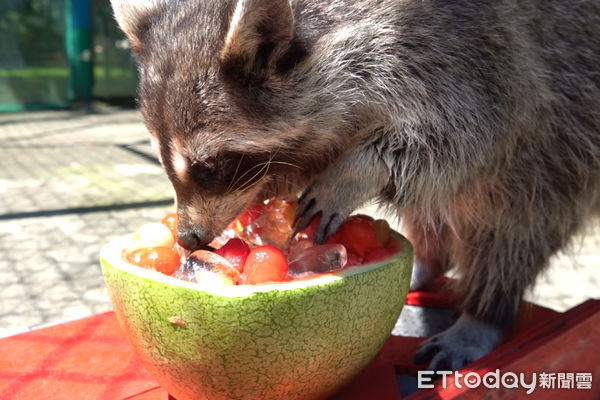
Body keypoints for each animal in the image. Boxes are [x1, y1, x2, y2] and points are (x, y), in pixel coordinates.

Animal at [111, 0, 600, 370]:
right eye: (163, 161)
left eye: (210, 166)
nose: (188, 238)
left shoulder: (466, 54)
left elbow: (460, 138)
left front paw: (354, 171)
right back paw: (429, 255)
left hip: (560, 133)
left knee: (515, 219)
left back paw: (484, 312)